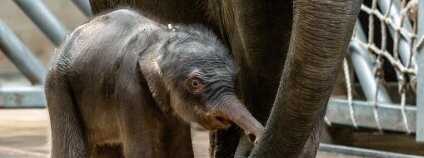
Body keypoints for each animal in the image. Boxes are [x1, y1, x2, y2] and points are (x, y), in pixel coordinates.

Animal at [44, 8, 262, 158]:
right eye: (195, 83)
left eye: (233, 78)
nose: (255, 137)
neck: (161, 40)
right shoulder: (129, 89)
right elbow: (143, 150)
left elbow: (179, 148)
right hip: (57, 84)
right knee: (71, 149)